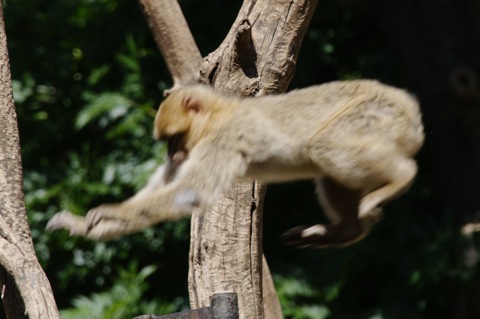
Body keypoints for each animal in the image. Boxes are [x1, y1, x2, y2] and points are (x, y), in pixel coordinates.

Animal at [47, 79, 424, 248]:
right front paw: (80, 224)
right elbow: (165, 188)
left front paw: (108, 212)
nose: (171, 155)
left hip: (377, 116)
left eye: (173, 138)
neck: (220, 115)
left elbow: (190, 193)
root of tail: (411, 111)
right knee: (329, 170)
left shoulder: (223, 139)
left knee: (326, 148)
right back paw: (346, 231)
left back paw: (402, 177)